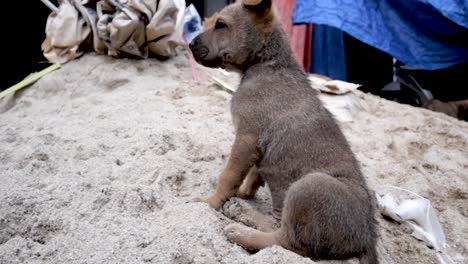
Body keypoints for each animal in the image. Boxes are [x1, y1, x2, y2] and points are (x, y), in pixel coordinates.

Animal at [188, 1, 378, 262]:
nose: (190, 45)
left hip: (309, 187)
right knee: (278, 225)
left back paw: (242, 231)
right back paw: (243, 211)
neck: (266, 62)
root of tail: (367, 238)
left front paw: (210, 201)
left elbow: (229, 176)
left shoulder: (246, 138)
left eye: (220, 24)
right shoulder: (256, 146)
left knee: (286, 241)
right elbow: (253, 173)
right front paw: (244, 193)